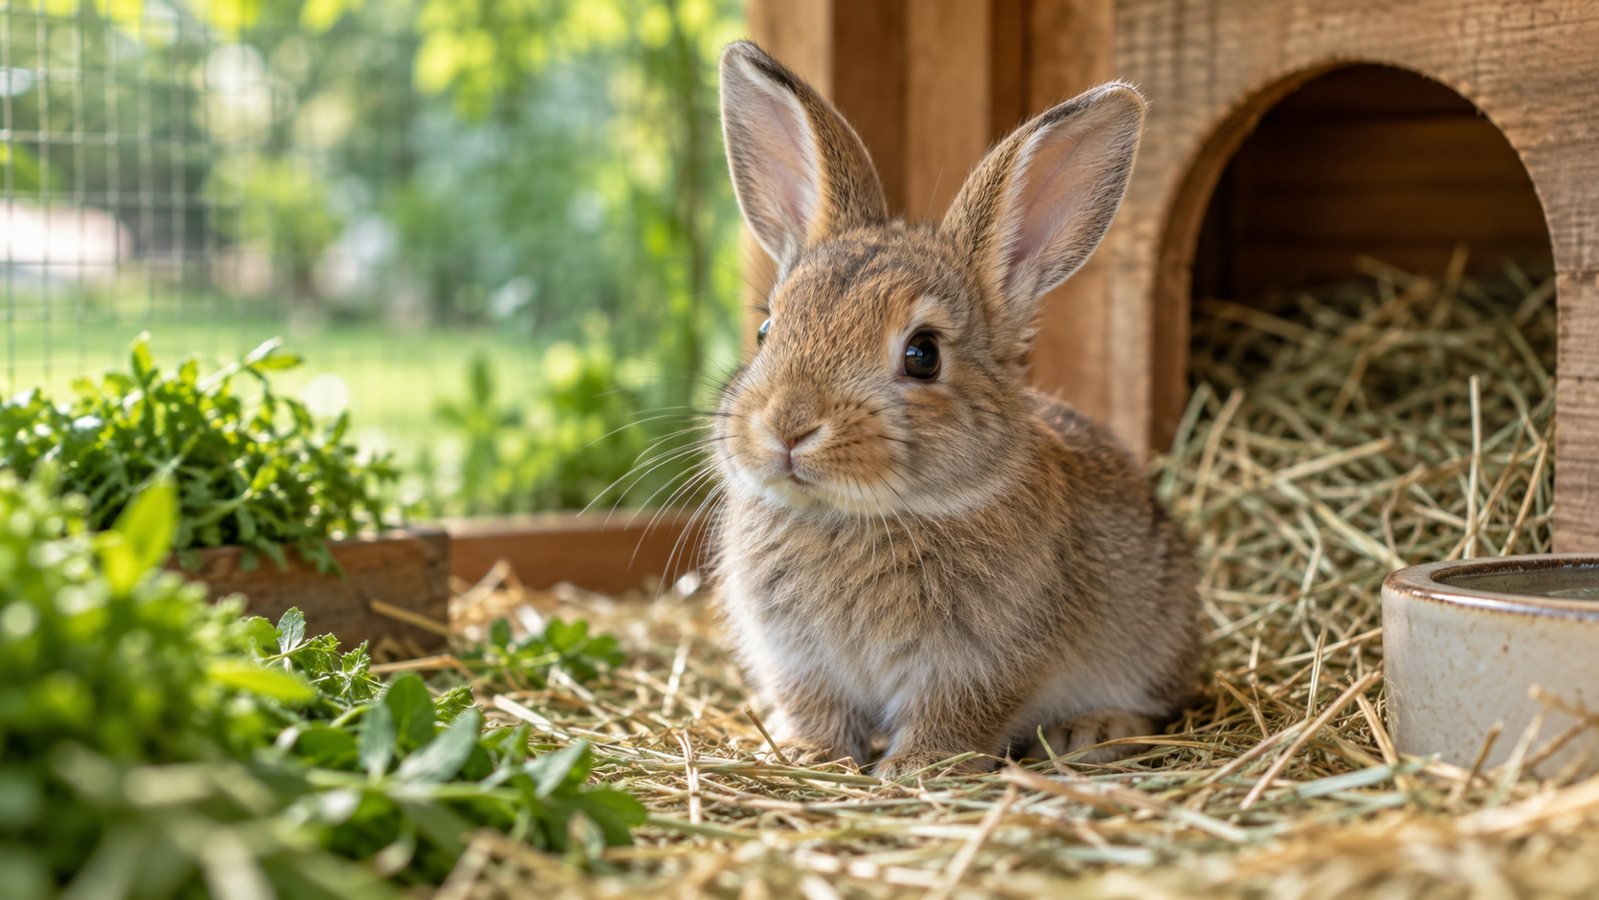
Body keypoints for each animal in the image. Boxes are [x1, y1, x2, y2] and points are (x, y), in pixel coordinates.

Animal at [708, 40, 1201, 779]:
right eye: (768, 330)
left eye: (922, 355)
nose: (788, 427)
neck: (855, 517)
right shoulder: (799, 660)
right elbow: (817, 710)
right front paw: (806, 755)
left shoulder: (981, 661)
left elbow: (955, 716)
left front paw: (916, 770)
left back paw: (1093, 731)